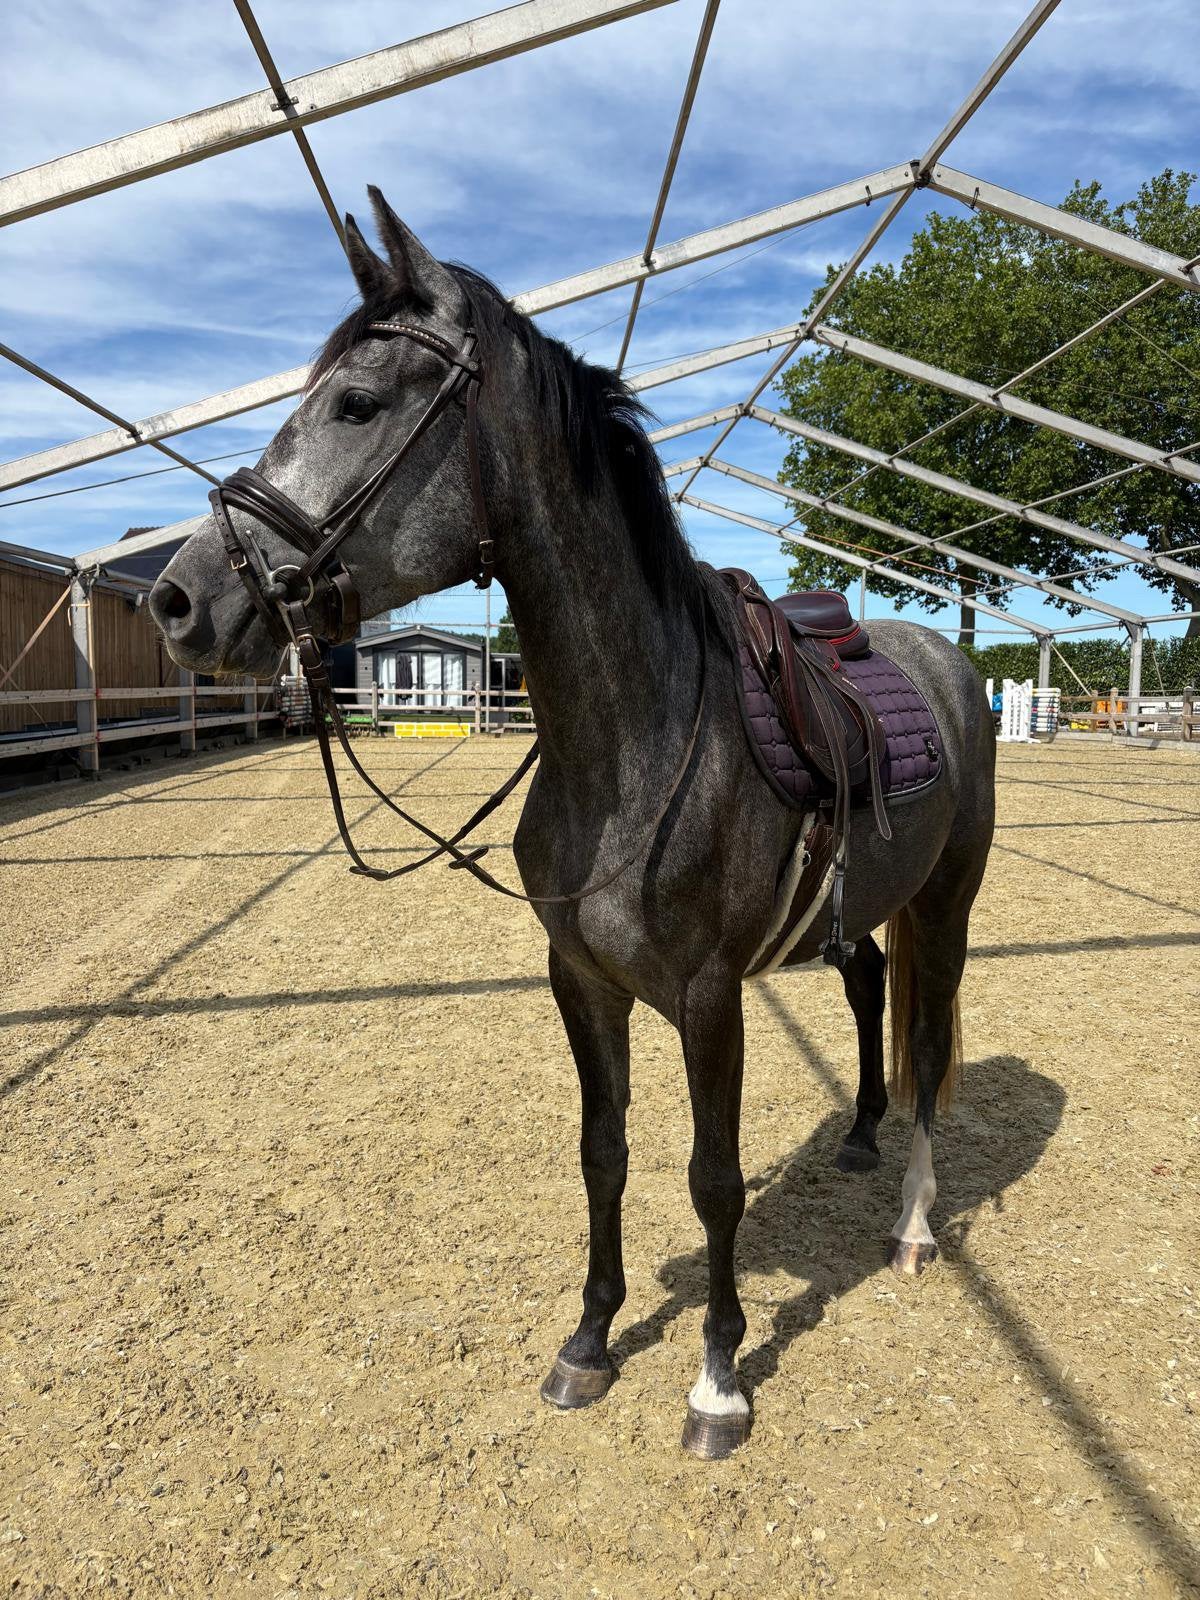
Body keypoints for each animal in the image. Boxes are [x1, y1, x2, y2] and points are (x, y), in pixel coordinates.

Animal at [149, 190, 996, 1460]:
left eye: (357, 403)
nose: (180, 597)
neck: (635, 739)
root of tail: (946, 660)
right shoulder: (581, 980)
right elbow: (604, 1154)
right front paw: (590, 1340)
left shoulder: (707, 994)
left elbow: (711, 1175)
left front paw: (717, 1381)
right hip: (860, 911)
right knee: (868, 992)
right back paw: (857, 1137)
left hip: (946, 903)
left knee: (930, 1040)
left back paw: (911, 1229)